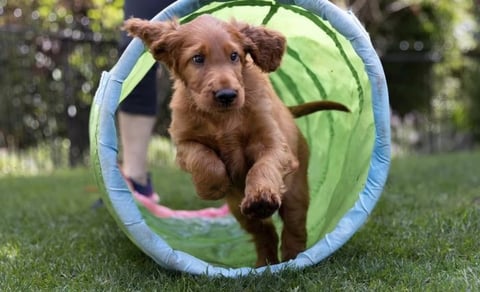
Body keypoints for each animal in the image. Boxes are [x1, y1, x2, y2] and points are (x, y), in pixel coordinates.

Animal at [124, 15, 348, 266]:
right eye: (198, 58)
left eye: (234, 56)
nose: (227, 95)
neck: (223, 118)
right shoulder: (184, 142)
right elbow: (204, 159)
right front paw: (212, 187)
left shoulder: (272, 143)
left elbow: (263, 166)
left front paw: (261, 197)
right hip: (238, 210)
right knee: (265, 233)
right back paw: (265, 263)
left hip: (295, 194)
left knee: (294, 230)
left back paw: (293, 258)